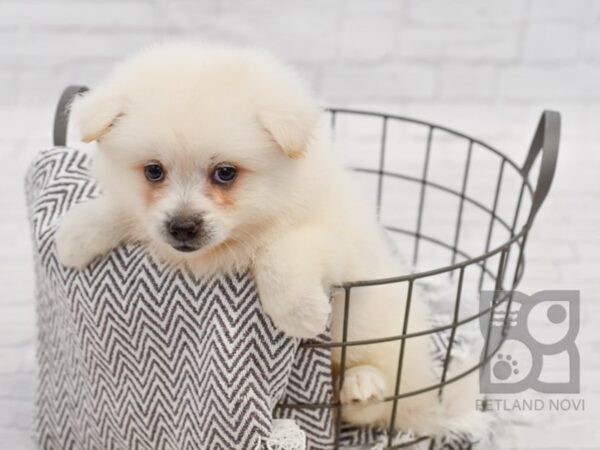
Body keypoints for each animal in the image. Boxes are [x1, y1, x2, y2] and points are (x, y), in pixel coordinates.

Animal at [55, 42, 478, 436]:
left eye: (225, 173)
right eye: (154, 171)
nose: (183, 226)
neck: (247, 229)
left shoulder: (336, 237)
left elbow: (280, 255)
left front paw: (301, 313)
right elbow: (124, 210)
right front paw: (76, 234)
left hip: (380, 328)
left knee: (380, 392)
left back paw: (363, 385)